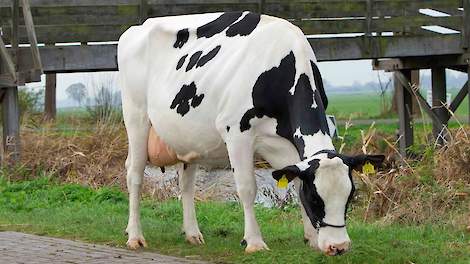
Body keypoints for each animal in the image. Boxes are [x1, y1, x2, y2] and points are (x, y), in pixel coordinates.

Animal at [118, 11, 386, 256]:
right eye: (315, 198)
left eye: (350, 195)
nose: (338, 246)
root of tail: (138, 27)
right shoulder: (237, 132)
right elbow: (247, 188)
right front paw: (254, 242)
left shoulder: (286, 143)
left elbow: (296, 180)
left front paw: (310, 238)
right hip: (136, 115)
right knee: (134, 174)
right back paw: (135, 236)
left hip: (189, 137)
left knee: (186, 184)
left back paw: (192, 234)